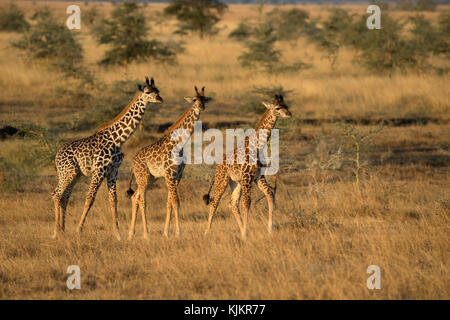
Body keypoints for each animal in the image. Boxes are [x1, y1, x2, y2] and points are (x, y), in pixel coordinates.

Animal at [51, 77, 163, 240]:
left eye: (158, 90)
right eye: (148, 92)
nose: (160, 99)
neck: (118, 139)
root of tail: (57, 156)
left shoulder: (113, 171)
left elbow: (113, 200)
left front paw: (118, 234)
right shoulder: (99, 170)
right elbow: (90, 198)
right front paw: (78, 230)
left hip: (74, 174)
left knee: (64, 196)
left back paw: (62, 230)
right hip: (68, 173)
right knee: (57, 194)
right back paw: (56, 232)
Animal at [125, 86, 212, 239]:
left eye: (204, 99)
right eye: (194, 100)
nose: (201, 107)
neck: (179, 143)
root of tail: (133, 162)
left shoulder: (177, 176)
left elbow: (170, 202)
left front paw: (166, 233)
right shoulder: (169, 174)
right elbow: (175, 202)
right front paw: (178, 232)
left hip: (151, 178)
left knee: (135, 196)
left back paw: (131, 234)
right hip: (143, 176)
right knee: (141, 199)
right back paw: (146, 234)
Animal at [203, 94, 292, 239]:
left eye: (286, 106)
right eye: (278, 108)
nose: (289, 114)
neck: (258, 146)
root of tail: (217, 166)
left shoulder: (258, 177)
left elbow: (270, 195)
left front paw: (269, 229)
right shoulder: (247, 177)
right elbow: (247, 202)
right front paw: (246, 231)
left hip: (236, 182)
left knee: (232, 203)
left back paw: (241, 230)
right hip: (222, 180)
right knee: (214, 201)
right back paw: (207, 232)